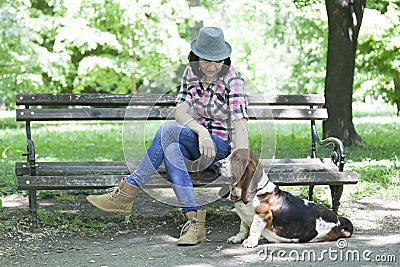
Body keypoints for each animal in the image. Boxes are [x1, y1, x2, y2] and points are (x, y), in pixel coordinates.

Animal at [216, 149, 354, 249]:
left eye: (236, 158)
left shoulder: (262, 215)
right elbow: (243, 228)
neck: (257, 191)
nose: (216, 164)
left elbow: (253, 229)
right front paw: (237, 238)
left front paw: (249, 242)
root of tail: (338, 220)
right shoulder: (244, 217)